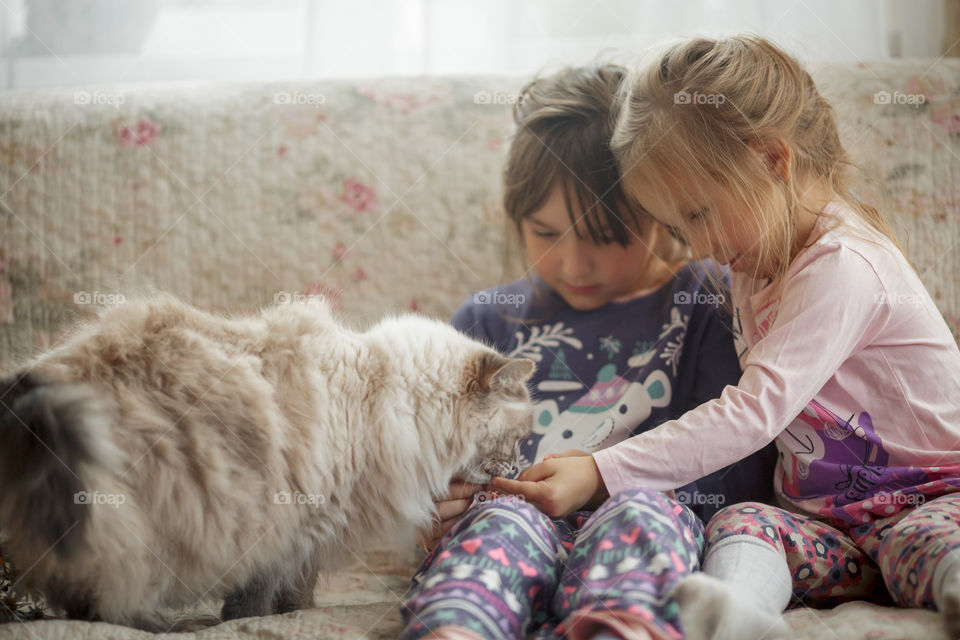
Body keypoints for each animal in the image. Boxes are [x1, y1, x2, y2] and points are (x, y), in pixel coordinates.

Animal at [0, 296, 536, 632]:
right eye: (519, 438)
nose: (517, 470)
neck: (382, 397)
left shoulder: (309, 529)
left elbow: (293, 588)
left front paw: (287, 613)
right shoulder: (299, 522)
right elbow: (265, 590)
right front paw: (255, 620)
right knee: (101, 589)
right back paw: (146, 622)